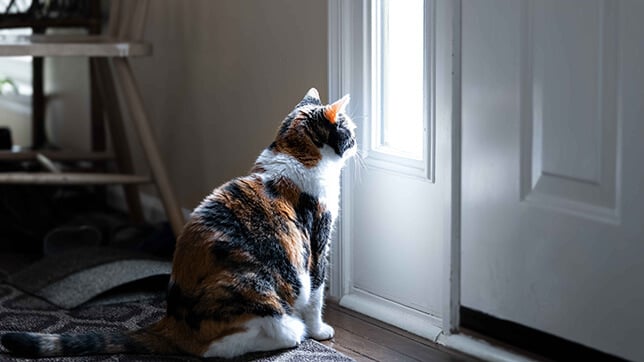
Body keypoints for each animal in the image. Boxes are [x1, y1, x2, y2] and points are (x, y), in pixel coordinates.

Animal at [0, 88, 358, 360]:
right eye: (349, 129)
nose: (357, 141)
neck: (296, 154)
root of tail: (171, 322)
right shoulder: (317, 244)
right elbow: (316, 294)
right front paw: (319, 330)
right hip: (255, 288)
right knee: (216, 348)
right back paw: (293, 333)